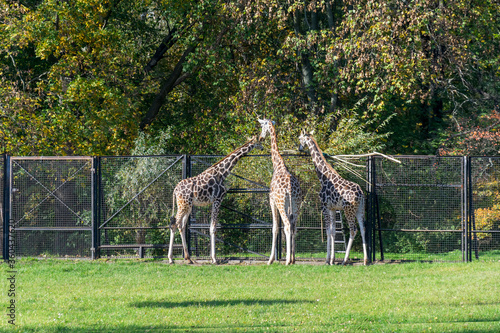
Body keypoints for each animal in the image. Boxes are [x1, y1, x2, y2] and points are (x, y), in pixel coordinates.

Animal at [168, 136, 262, 264]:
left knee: (181, 225)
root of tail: (175, 189)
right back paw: (170, 259)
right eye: (259, 141)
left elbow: (212, 227)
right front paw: (214, 259)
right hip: (183, 204)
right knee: (174, 223)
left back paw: (188, 258)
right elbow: (213, 228)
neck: (222, 173)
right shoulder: (218, 199)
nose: (262, 147)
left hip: (187, 205)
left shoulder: (214, 201)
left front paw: (212, 257)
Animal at [258, 119, 300, 264]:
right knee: (294, 226)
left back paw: (287, 261)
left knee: (287, 225)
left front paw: (270, 260)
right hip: (296, 204)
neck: (277, 164)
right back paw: (292, 259)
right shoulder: (288, 205)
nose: (260, 137)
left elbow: (275, 227)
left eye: (262, 125)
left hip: (281, 203)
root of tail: (290, 188)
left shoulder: (272, 200)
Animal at [298, 130, 370, 264]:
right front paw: (332, 258)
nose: (299, 148)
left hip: (348, 210)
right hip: (360, 209)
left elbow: (328, 231)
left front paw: (329, 260)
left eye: (300, 138)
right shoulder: (332, 208)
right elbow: (333, 231)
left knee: (353, 230)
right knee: (363, 229)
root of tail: (361, 194)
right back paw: (365, 260)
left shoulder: (325, 206)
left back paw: (345, 260)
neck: (323, 177)